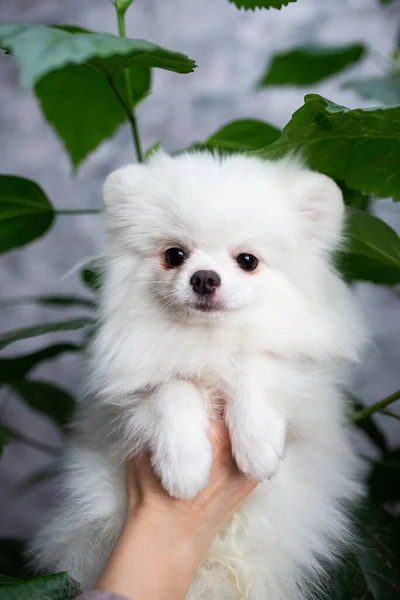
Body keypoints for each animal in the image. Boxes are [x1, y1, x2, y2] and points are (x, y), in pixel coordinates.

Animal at [32, 151, 368, 600]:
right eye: (175, 255)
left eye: (247, 261)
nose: (204, 277)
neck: (209, 340)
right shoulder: (131, 390)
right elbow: (174, 387)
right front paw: (184, 466)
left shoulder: (304, 385)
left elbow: (256, 364)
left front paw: (257, 446)